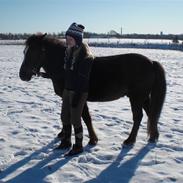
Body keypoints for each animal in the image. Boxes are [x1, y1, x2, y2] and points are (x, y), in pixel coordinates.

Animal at [19, 34, 166, 146]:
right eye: (24, 52)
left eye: (35, 52)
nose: (22, 75)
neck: (67, 68)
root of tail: (151, 62)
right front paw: (63, 134)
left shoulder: (78, 97)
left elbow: (85, 118)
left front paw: (93, 139)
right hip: (143, 97)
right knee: (151, 114)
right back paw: (153, 136)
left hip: (136, 97)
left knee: (138, 117)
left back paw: (130, 140)